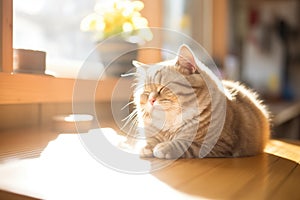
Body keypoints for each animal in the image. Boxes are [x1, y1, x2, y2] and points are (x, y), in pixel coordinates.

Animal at [126, 44, 270, 159]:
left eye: (163, 88)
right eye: (146, 93)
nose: (151, 99)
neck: (170, 126)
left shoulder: (217, 144)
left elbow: (184, 144)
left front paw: (163, 147)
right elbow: (149, 141)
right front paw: (146, 147)